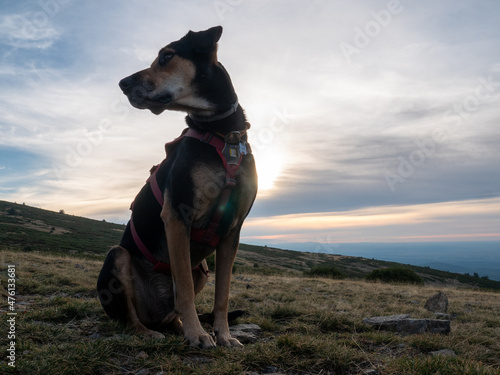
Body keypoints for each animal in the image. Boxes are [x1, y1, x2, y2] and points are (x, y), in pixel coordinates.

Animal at [96, 26, 258, 350]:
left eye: (166, 56)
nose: (122, 84)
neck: (223, 132)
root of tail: (155, 315)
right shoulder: (177, 215)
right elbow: (181, 287)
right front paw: (198, 335)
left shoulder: (232, 230)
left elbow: (223, 295)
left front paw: (224, 335)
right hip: (117, 255)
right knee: (129, 319)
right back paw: (154, 333)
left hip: (202, 270)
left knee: (172, 314)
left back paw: (179, 326)